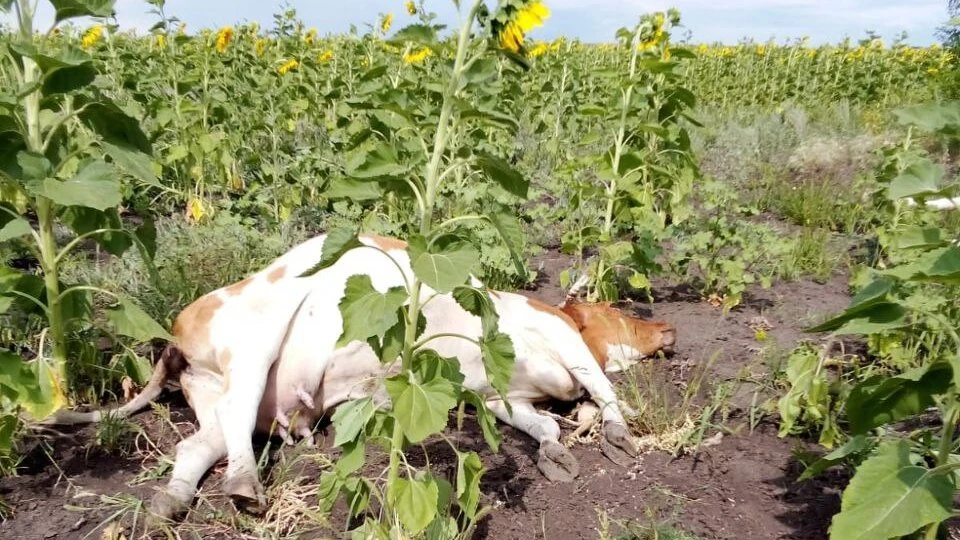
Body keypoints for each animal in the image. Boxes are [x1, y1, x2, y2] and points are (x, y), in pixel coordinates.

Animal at [47, 232, 676, 520]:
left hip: (218, 397)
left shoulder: (496, 395)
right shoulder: (562, 339)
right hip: (257, 337)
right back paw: (245, 487)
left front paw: (558, 451)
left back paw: (170, 502)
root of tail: (176, 332)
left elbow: (540, 426)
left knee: (200, 444)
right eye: (618, 312)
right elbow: (604, 388)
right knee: (234, 413)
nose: (669, 328)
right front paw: (618, 435)